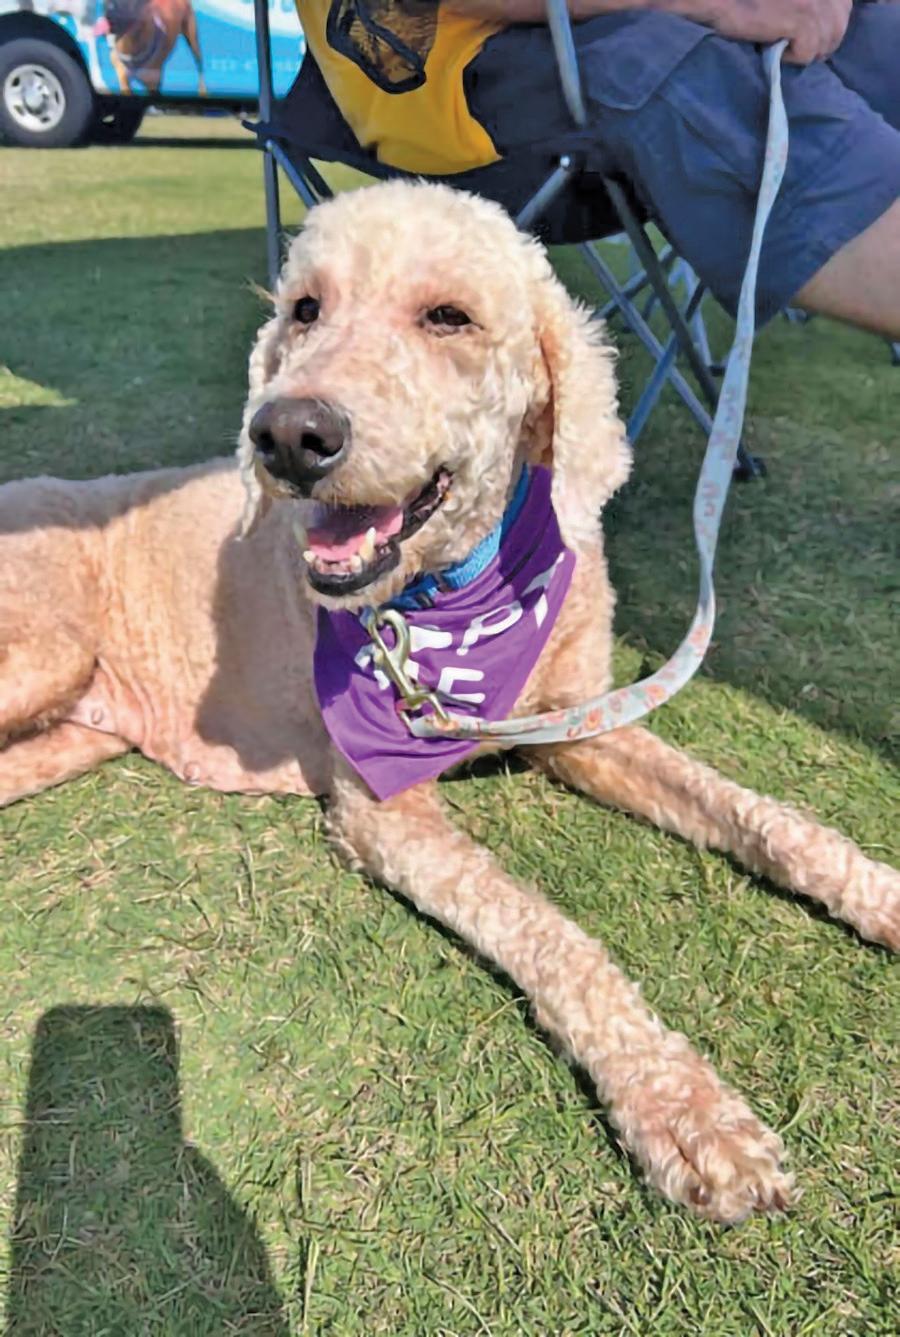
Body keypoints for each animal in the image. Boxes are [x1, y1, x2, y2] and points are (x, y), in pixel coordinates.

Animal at [1, 182, 896, 1224]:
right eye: (305, 309)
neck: (452, 596)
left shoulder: (583, 722)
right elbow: (547, 926)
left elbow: (764, 816)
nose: (287, 434)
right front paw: (682, 1106)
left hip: (68, 731)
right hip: (47, 651)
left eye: (449, 317)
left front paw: (880, 895)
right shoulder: (385, 812)